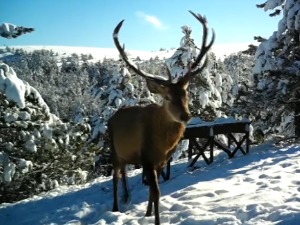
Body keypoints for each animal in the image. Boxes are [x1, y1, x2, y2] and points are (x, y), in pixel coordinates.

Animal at [109, 10, 214, 225]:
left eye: (186, 93)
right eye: (166, 97)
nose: (185, 115)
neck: (162, 144)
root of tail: (114, 116)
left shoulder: (161, 161)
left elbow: (153, 191)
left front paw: (148, 213)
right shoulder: (147, 158)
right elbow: (156, 192)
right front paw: (155, 219)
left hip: (126, 154)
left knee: (124, 171)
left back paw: (126, 197)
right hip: (113, 148)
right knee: (115, 176)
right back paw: (115, 207)